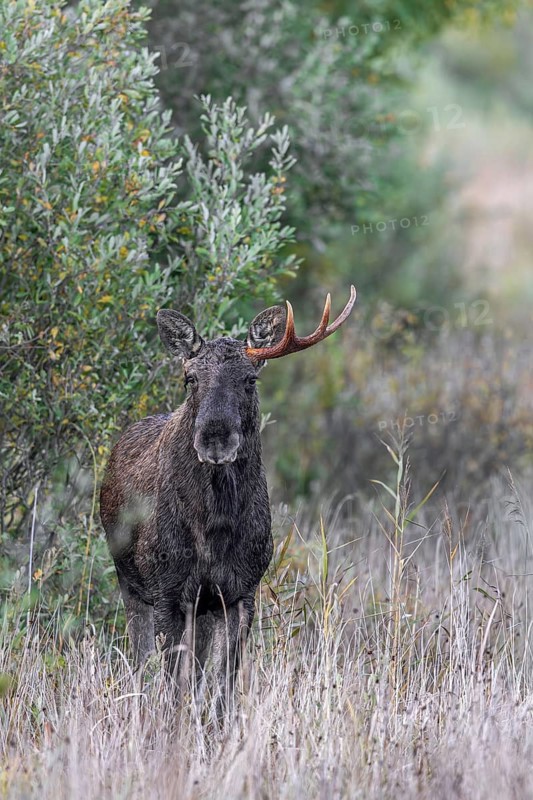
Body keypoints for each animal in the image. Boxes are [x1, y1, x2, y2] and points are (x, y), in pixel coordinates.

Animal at [99, 286, 356, 714]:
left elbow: (223, 686)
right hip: (129, 581)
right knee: (140, 662)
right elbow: (173, 685)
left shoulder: (240, 592)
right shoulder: (167, 591)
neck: (213, 529)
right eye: (189, 378)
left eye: (250, 379)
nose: (215, 438)